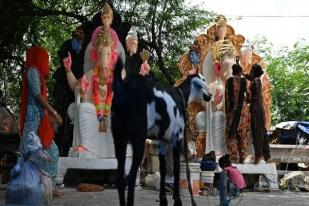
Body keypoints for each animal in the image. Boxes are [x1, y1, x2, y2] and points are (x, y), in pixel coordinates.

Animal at [111, 58, 212, 206]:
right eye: (203, 79)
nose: (210, 95)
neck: (181, 95)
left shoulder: (162, 141)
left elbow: (163, 169)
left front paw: (163, 199)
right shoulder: (177, 139)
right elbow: (176, 169)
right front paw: (177, 200)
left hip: (119, 138)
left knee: (120, 178)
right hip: (138, 139)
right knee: (131, 176)